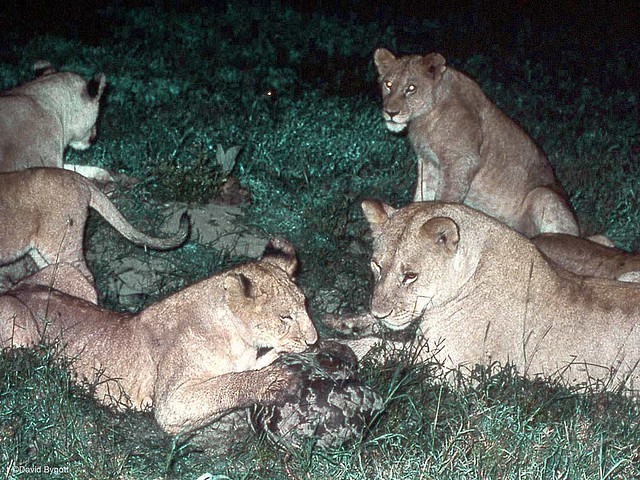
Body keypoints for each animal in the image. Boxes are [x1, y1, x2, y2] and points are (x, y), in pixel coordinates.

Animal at [0, 240, 318, 436]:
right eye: (285, 318)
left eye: (305, 304)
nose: (313, 341)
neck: (238, 339)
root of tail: (14, 290)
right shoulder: (170, 405)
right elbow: (227, 383)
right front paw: (276, 380)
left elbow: (242, 370)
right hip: (19, 332)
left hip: (71, 274)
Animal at [332, 201, 640, 392]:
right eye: (376, 265)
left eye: (410, 275)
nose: (379, 311)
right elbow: (382, 338)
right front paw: (343, 324)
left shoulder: (454, 372)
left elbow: (385, 351)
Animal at [372, 48, 576, 236]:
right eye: (388, 84)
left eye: (411, 88)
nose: (390, 113)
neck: (423, 120)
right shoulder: (428, 163)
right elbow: (423, 195)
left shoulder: (462, 162)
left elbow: (445, 199)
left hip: (542, 194)